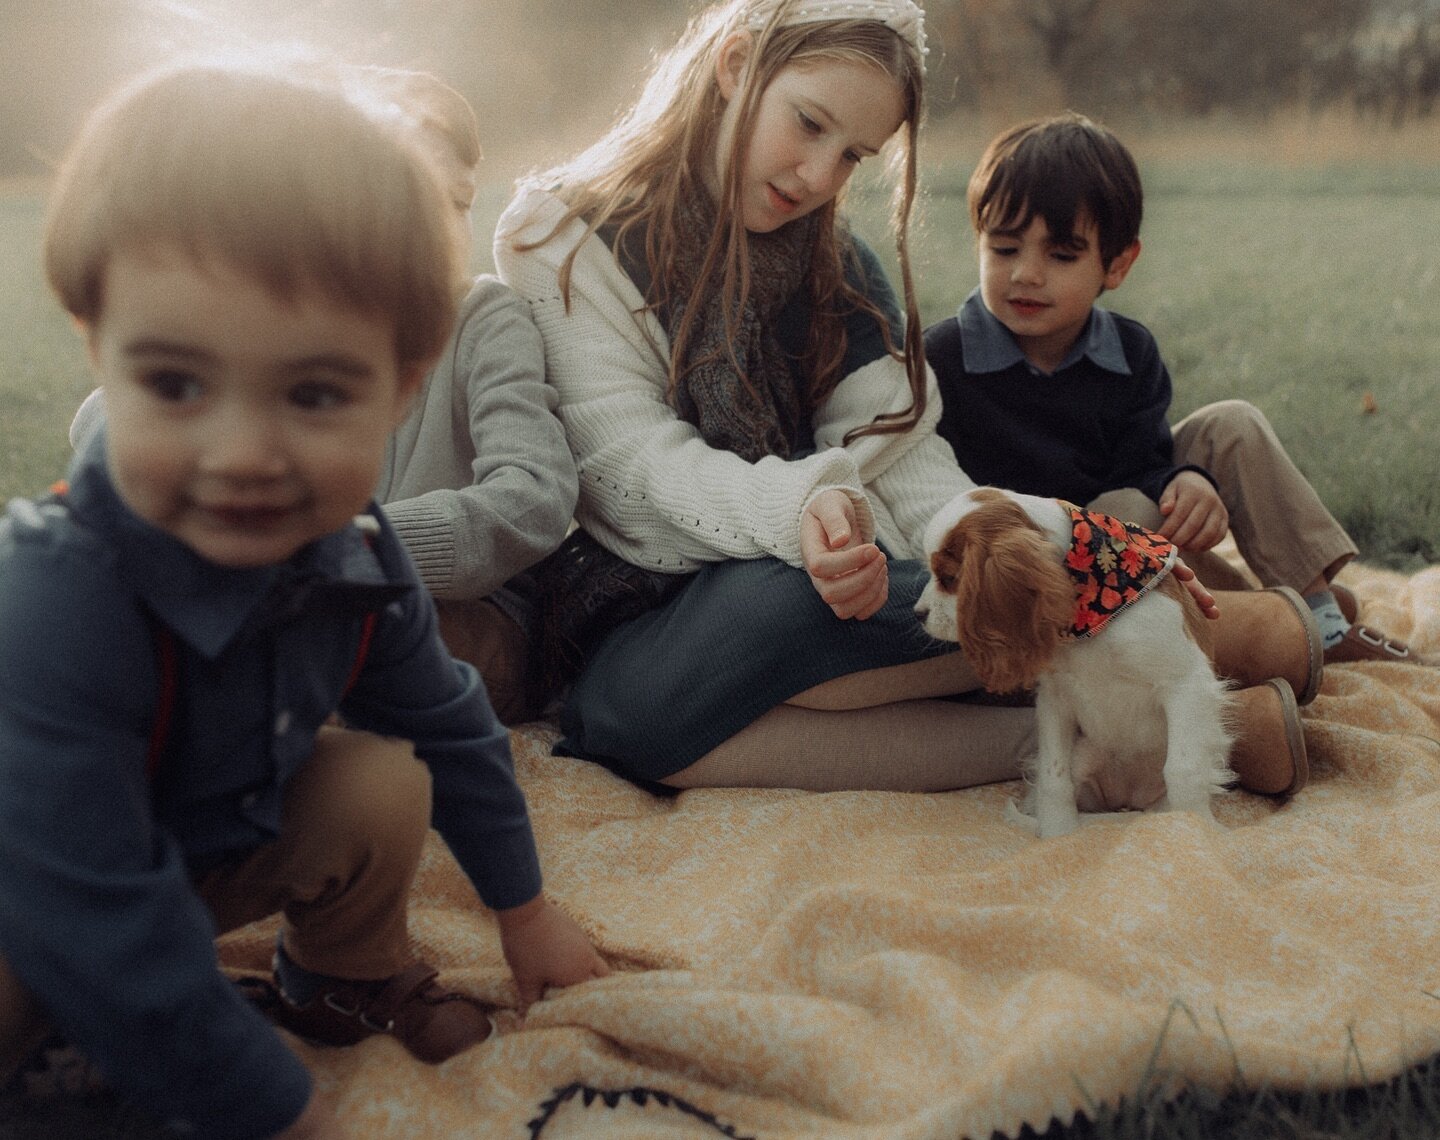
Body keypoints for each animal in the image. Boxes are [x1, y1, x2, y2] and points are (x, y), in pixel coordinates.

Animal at [915, 486, 1232, 834]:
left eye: (949, 578)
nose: (918, 614)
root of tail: (1126, 801)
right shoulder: (1055, 699)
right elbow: (1054, 776)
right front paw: (1059, 833)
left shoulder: (1186, 684)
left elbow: (1183, 769)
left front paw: (1192, 828)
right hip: (1085, 754)